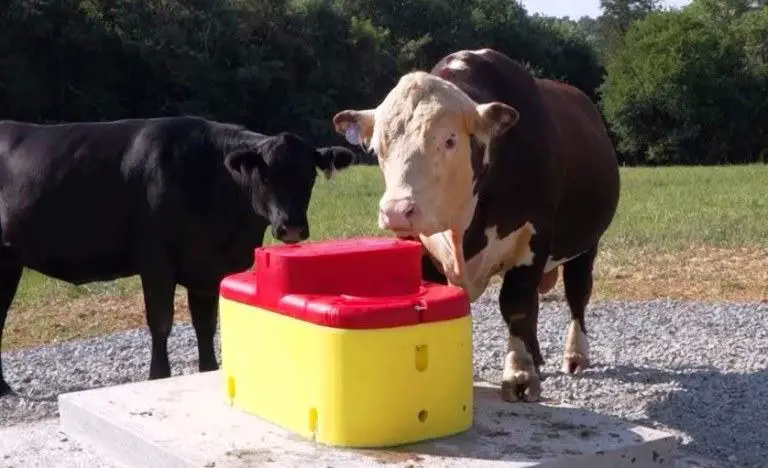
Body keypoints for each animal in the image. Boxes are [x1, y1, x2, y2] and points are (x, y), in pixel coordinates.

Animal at [0, 115, 360, 396]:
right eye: (265, 176)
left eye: (310, 176)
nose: (292, 227)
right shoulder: (156, 262)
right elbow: (161, 322)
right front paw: (158, 376)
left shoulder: (207, 269)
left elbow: (205, 323)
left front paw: (208, 368)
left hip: (9, 262)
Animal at [332, 48, 620, 402]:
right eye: (377, 147)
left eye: (450, 140)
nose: (396, 211)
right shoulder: (422, 248)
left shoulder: (533, 239)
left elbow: (517, 305)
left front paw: (520, 373)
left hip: (587, 245)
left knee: (577, 294)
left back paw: (575, 354)